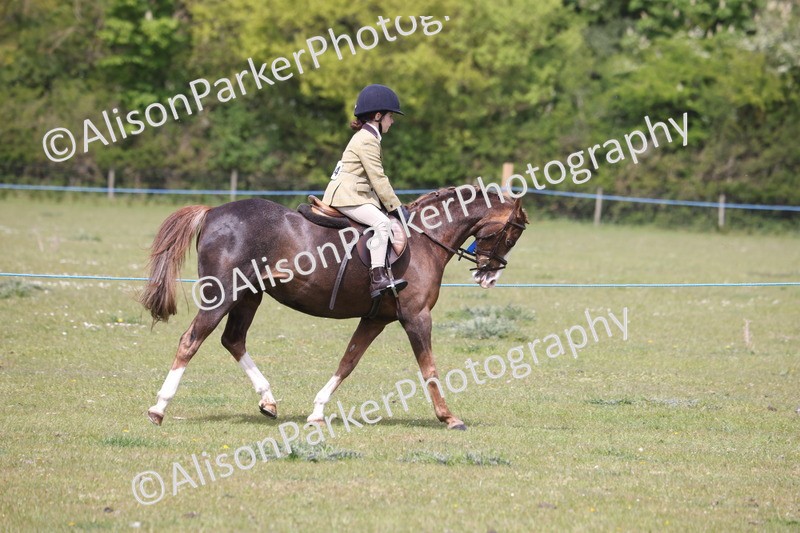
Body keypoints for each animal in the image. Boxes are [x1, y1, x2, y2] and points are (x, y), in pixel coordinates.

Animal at [140, 184, 529, 430]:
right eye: (512, 233)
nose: (488, 276)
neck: (423, 240)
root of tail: (212, 212)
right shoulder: (416, 317)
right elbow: (429, 368)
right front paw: (449, 417)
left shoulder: (375, 319)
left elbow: (348, 362)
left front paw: (317, 411)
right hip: (223, 295)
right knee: (191, 340)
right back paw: (158, 408)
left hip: (249, 296)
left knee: (233, 340)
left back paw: (268, 401)